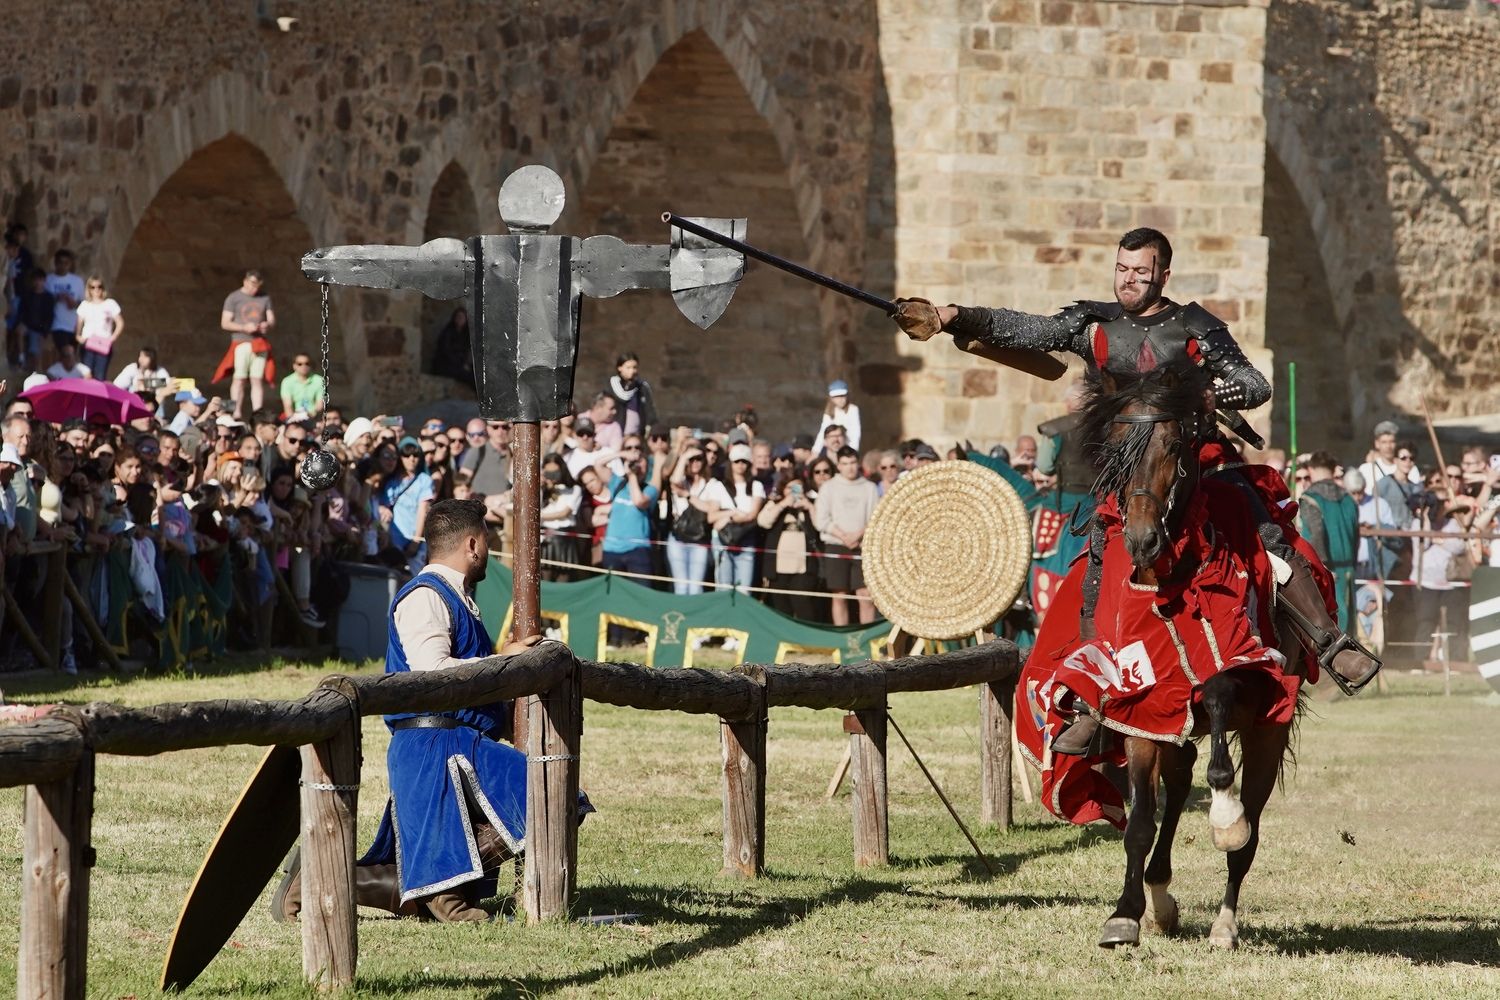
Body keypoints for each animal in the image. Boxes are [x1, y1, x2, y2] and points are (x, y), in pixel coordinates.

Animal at [1080, 364, 1302, 953]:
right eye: (1114, 449)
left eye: (1175, 446)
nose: (1141, 540)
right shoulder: (1143, 713)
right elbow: (1140, 822)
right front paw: (1125, 915)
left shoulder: (1244, 679)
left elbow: (1221, 700)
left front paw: (1225, 814)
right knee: (1176, 793)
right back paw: (1160, 899)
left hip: (1269, 733)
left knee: (1249, 829)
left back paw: (1225, 923)